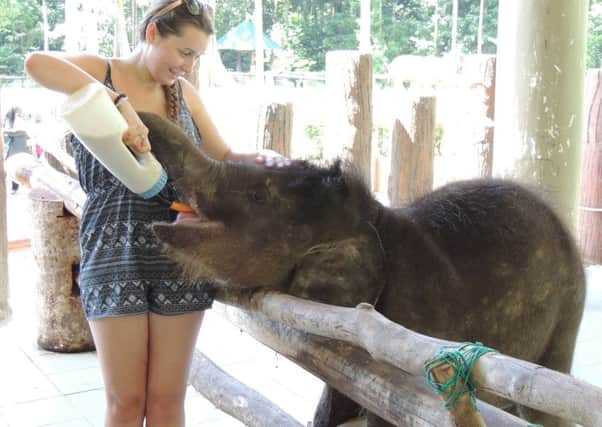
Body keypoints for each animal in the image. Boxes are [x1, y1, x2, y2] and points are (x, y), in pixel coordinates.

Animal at [139, 112, 580, 426]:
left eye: (257, 196)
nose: (136, 113)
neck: (377, 220)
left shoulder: (408, 328)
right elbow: (335, 402)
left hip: (566, 314)